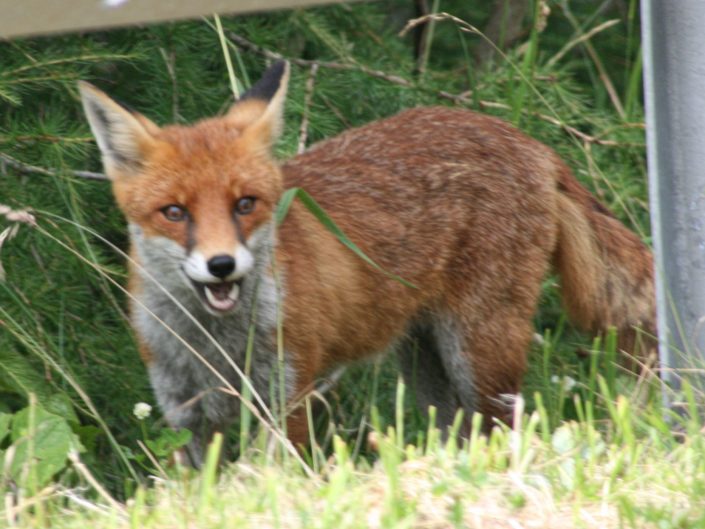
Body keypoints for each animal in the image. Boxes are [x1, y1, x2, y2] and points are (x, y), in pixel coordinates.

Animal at [78, 61, 655, 466]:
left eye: (245, 204)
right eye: (174, 213)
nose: (222, 265)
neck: (214, 345)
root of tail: (528, 140)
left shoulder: (288, 397)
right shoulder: (187, 416)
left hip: (480, 354)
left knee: (507, 431)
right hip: (428, 368)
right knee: (458, 435)